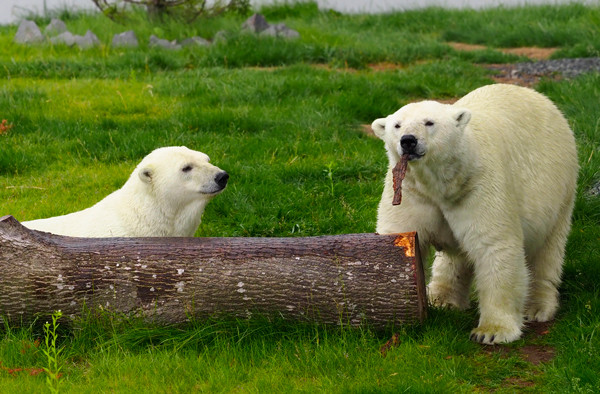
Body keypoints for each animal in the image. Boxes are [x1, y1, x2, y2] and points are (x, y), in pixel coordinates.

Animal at [372, 84, 580, 344]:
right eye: (397, 125)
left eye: (429, 122)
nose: (408, 141)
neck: (445, 183)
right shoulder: (410, 192)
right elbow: (400, 238)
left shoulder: (480, 185)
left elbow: (494, 245)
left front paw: (492, 331)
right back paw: (441, 298)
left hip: (558, 186)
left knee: (547, 250)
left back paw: (538, 307)